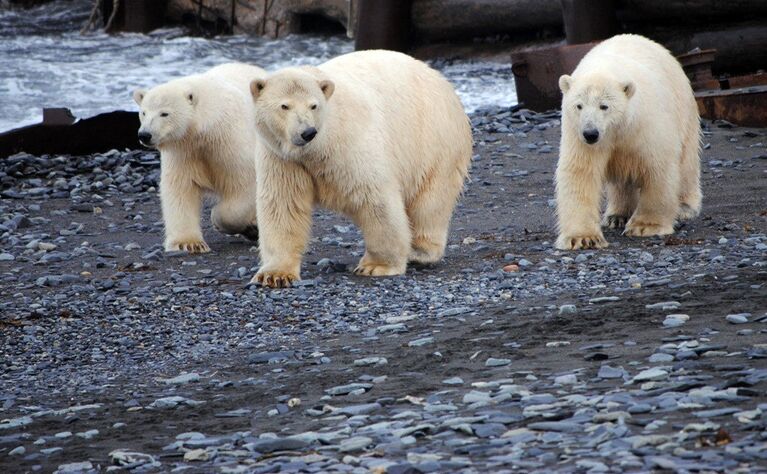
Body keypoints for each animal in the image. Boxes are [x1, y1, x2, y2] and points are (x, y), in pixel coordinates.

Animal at [132, 64, 264, 256]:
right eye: (143, 112)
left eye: (164, 113)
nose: (144, 135)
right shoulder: (183, 151)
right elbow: (180, 189)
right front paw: (189, 243)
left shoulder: (231, 142)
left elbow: (244, 183)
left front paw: (220, 219)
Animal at [249, 51, 472, 288]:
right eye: (284, 106)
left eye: (313, 106)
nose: (307, 132)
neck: (316, 149)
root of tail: (441, 80)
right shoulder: (281, 159)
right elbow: (283, 206)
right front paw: (275, 274)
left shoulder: (350, 144)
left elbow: (374, 198)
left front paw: (376, 266)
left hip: (434, 142)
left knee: (430, 202)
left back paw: (419, 251)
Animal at [552, 33, 704, 250]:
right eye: (578, 105)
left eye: (604, 106)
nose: (590, 133)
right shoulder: (577, 135)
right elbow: (581, 172)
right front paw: (582, 238)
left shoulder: (646, 125)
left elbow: (657, 167)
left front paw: (645, 226)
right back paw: (616, 215)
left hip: (684, 108)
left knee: (687, 162)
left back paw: (685, 206)